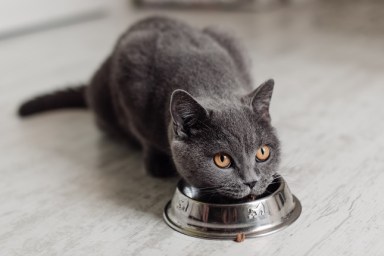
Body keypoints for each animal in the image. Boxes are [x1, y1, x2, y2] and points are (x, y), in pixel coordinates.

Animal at [18, 16, 280, 201]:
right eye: (222, 160)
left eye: (263, 153)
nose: (252, 181)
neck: (209, 80)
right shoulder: (131, 71)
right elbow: (143, 136)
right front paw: (156, 164)